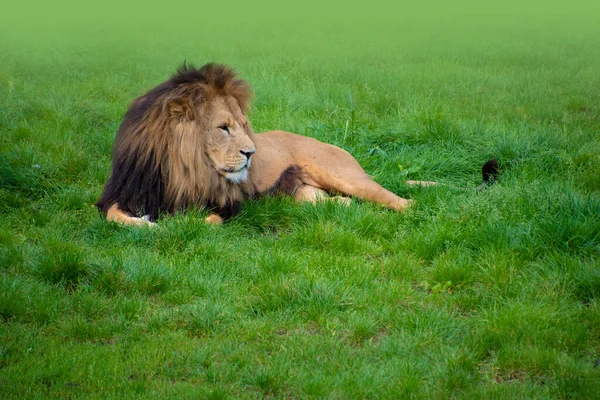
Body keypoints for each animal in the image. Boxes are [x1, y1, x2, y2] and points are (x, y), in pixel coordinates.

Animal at [98, 62, 436, 225]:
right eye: (223, 128)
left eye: (243, 125)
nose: (251, 152)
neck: (182, 168)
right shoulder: (123, 194)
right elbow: (115, 217)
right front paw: (147, 223)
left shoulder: (228, 205)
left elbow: (205, 221)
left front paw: (170, 224)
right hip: (308, 197)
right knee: (344, 204)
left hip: (346, 177)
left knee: (402, 202)